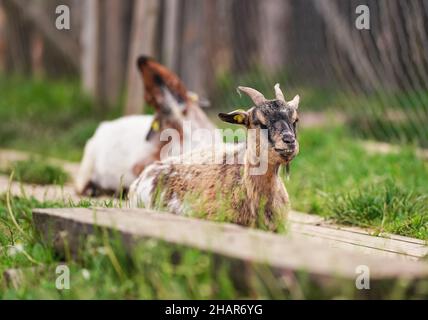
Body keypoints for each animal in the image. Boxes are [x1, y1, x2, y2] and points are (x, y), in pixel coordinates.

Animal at [73, 55, 217, 195]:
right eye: (150, 98)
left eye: (174, 82)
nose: (142, 59)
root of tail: (104, 126)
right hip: (88, 162)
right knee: (82, 184)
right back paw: (93, 190)